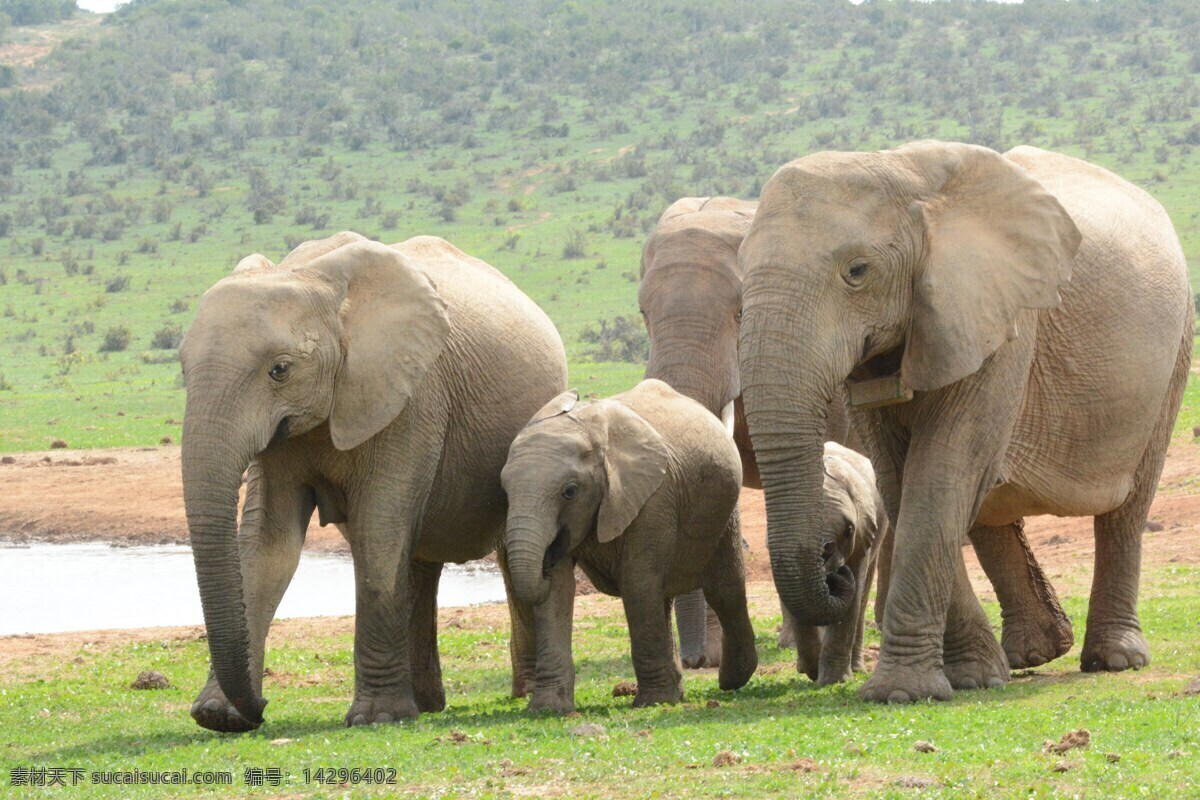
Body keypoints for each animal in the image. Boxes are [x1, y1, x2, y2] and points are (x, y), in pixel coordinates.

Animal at [179, 231, 567, 731]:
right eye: (183, 371)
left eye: (280, 369)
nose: (262, 708)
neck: (312, 278)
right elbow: (268, 545)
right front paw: (218, 716)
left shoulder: (411, 396)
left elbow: (378, 533)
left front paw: (376, 717)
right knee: (419, 564)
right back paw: (426, 704)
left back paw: (514, 694)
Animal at [500, 379, 757, 712]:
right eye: (505, 491)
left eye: (570, 491)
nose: (548, 554)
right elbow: (557, 591)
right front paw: (547, 709)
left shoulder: (652, 498)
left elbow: (637, 583)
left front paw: (651, 703)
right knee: (665, 596)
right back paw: (680, 693)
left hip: (725, 509)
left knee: (724, 589)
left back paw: (731, 681)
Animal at [792, 442, 887, 685]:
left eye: (849, 530)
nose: (836, 570)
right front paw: (812, 669)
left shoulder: (864, 534)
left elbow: (853, 598)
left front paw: (834, 681)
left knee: (861, 596)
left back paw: (857, 668)